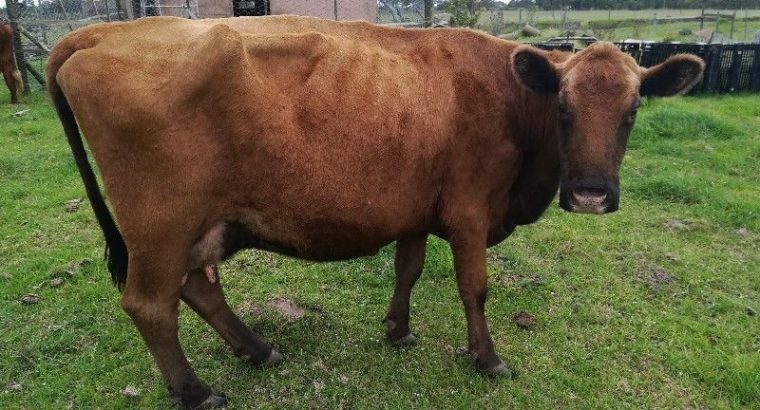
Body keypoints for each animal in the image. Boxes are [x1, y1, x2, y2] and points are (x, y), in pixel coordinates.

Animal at [47, 16, 704, 409]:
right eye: (563, 107)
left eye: (632, 111)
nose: (591, 194)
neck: (513, 99)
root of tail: (107, 30)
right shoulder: (468, 211)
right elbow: (474, 287)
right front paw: (487, 358)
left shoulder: (415, 209)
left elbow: (407, 268)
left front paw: (398, 329)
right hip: (160, 226)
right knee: (150, 305)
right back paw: (195, 390)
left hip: (196, 227)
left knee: (198, 288)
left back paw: (257, 349)